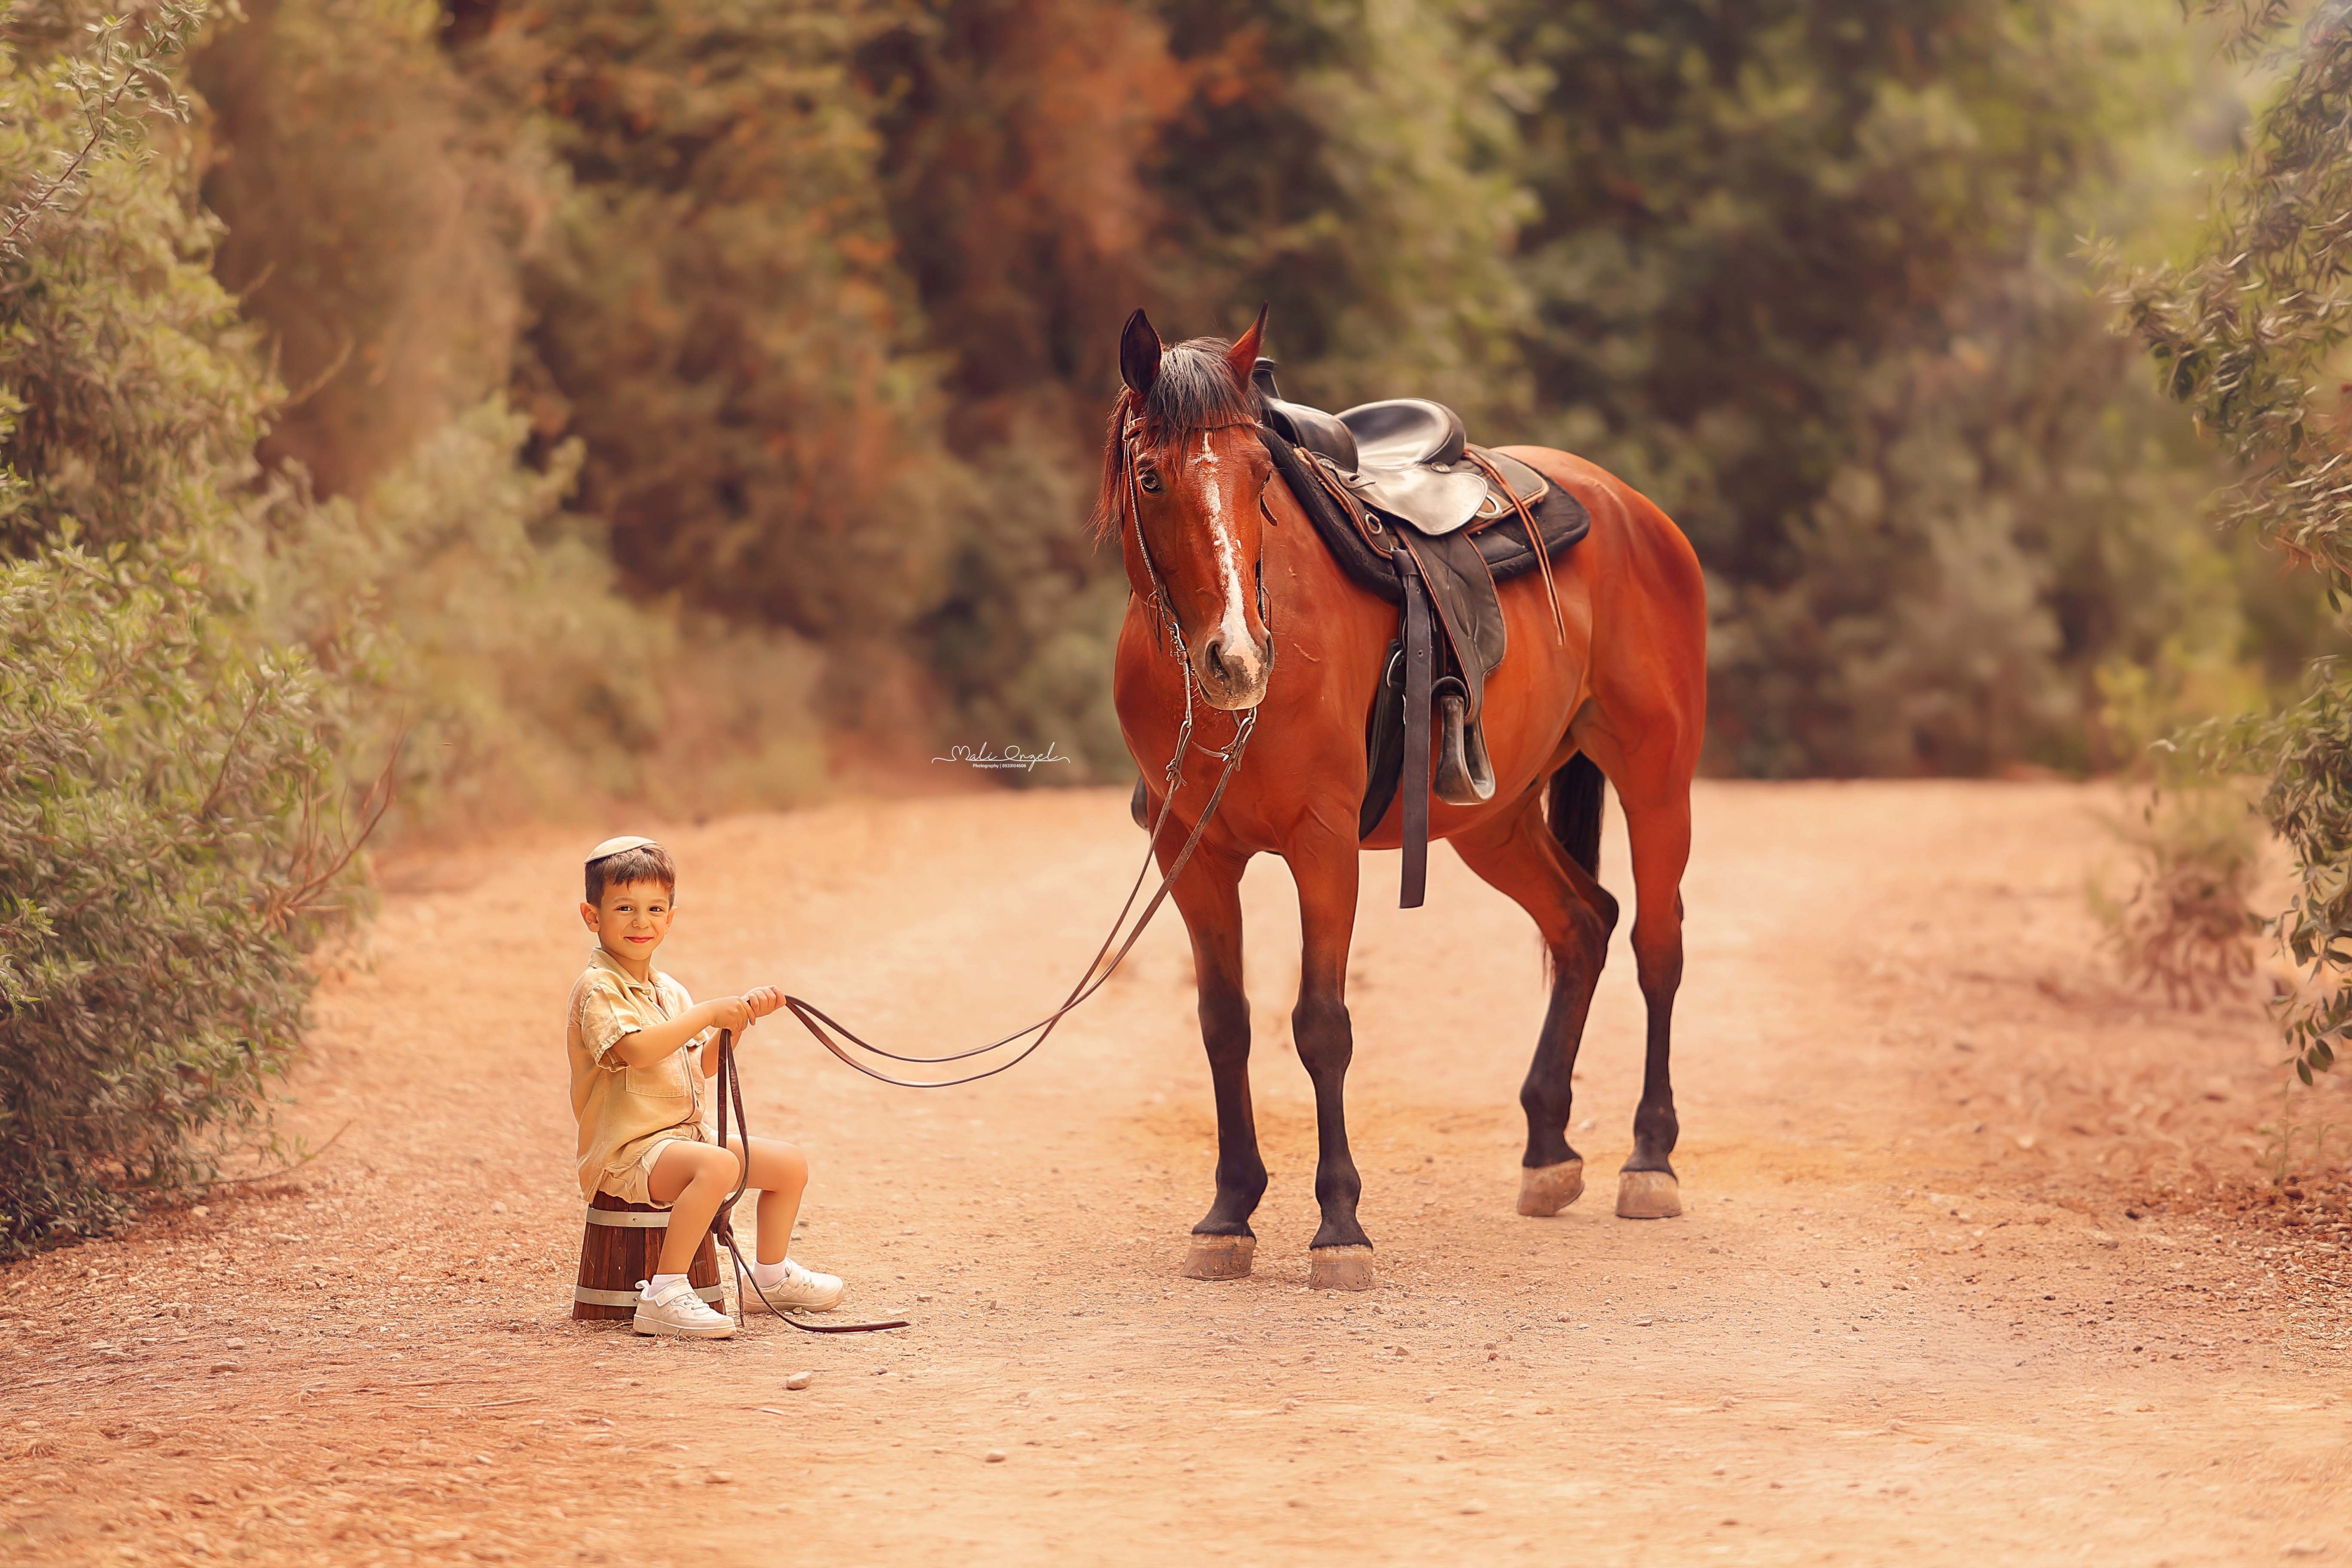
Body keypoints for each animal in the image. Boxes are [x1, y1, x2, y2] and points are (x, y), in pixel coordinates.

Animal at [1100, 306, 1712, 1288]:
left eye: (1260, 478)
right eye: (1151, 476)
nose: (1237, 658)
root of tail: (1631, 508)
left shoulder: (1321, 844)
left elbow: (1321, 1025)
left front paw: (1339, 1224)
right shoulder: (1190, 852)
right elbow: (1224, 1023)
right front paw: (1229, 1214)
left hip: (1656, 776)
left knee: (1658, 946)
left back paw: (1649, 1160)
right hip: (1494, 822)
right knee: (1584, 923)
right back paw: (1548, 1153)